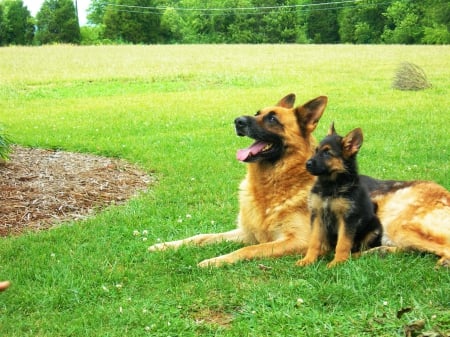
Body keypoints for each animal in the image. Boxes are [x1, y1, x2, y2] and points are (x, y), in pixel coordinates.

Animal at [298, 124, 382, 268]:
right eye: (316, 150)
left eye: (327, 153)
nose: (306, 164)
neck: (330, 185)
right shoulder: (317, 215)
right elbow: (314, 241)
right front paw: (309, 259)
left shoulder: (348, 219)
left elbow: (343, 243)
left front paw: (338, 262)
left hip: (375, 227)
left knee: (363, 249)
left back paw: (353, 256)